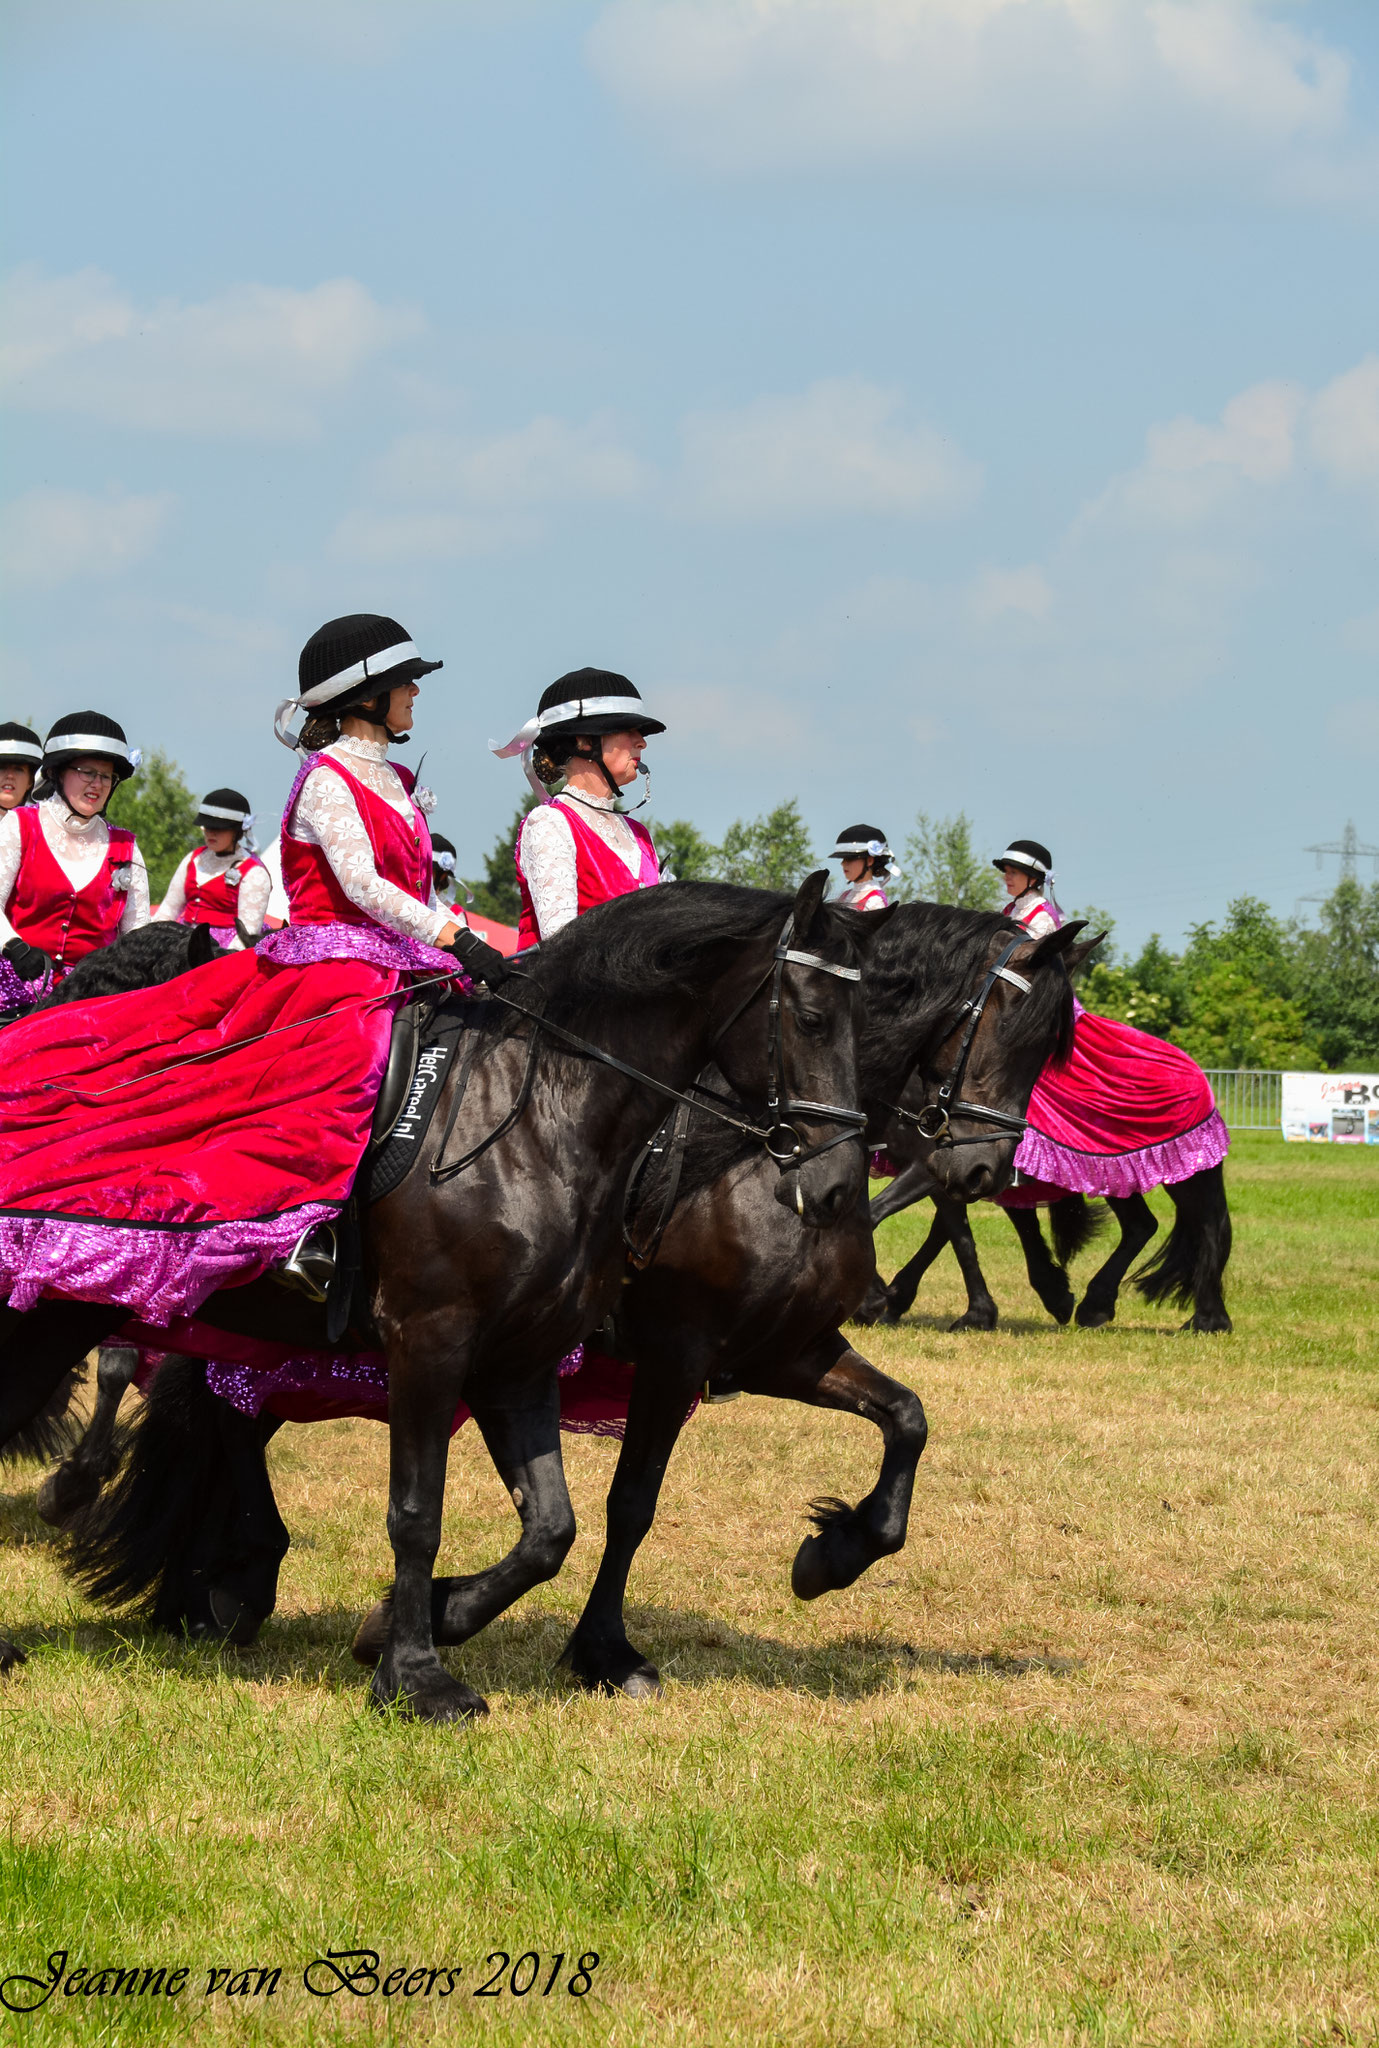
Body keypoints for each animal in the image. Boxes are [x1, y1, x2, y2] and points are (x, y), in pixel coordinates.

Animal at [48, 913, 1090, 1695]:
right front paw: (592, 1650)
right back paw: (213, 1567)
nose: (983, 1171)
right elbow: (631, 1504)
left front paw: (833, 1556)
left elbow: (906, 1419)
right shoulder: (677, 1352)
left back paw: (219, 1581)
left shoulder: (781, 1351)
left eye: (1052, 1047)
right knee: (215, 1406)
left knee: (221, 1412)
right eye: (1002, 1023)